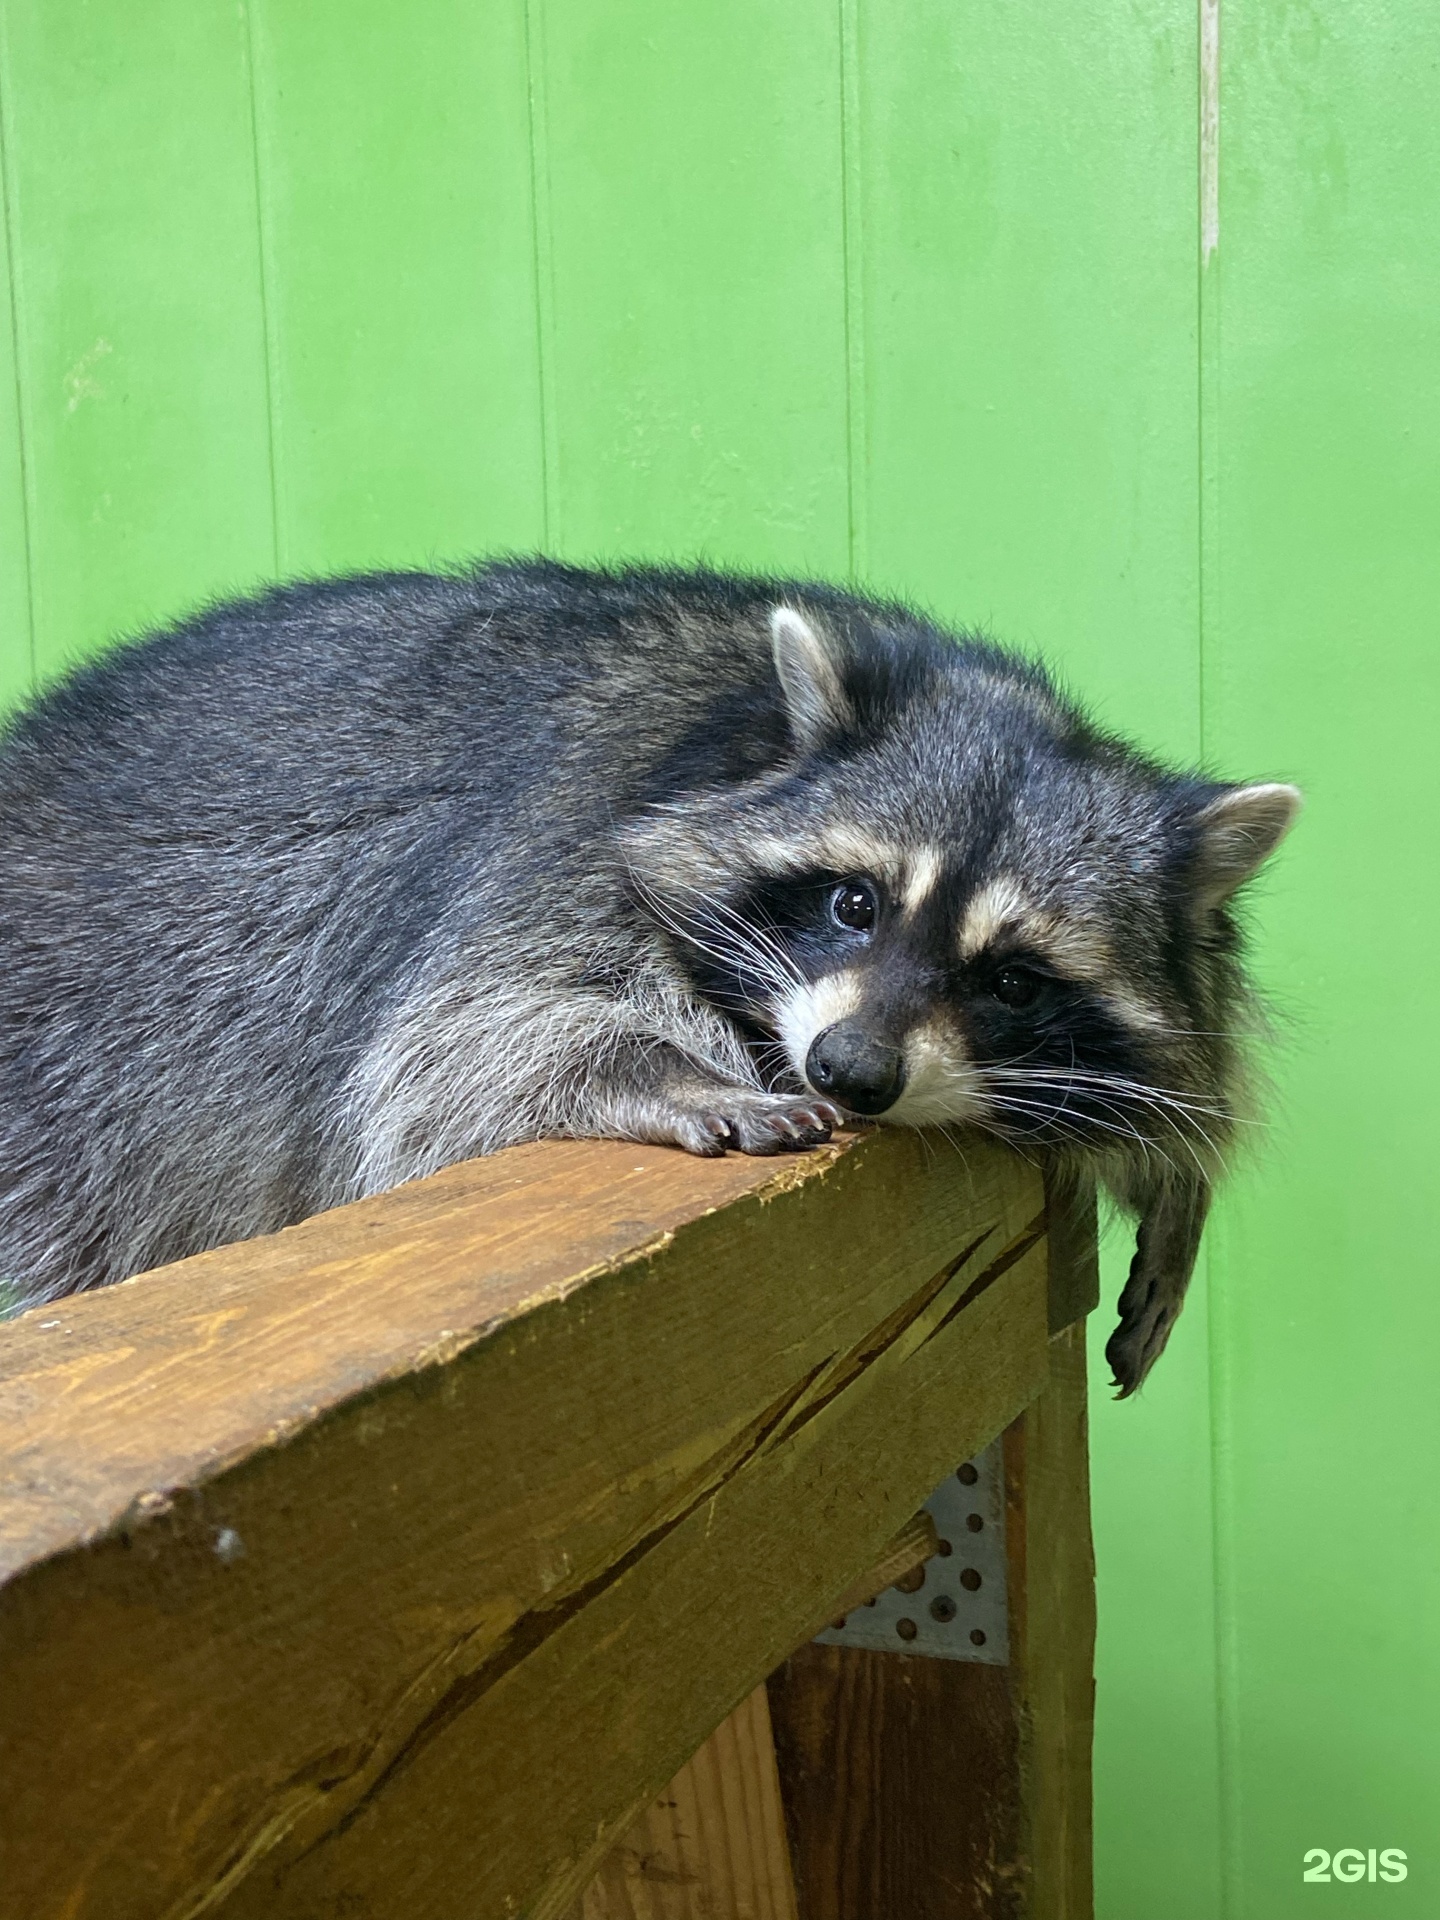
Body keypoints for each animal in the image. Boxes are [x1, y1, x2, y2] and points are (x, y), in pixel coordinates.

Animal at [0, 560, 1305, 1390]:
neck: (747, 730)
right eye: (855, 903)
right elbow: (450, 1056)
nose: (854, 1069)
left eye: (1014, 983)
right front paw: (662, 1072)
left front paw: (1172, 1169)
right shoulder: (560, 840)